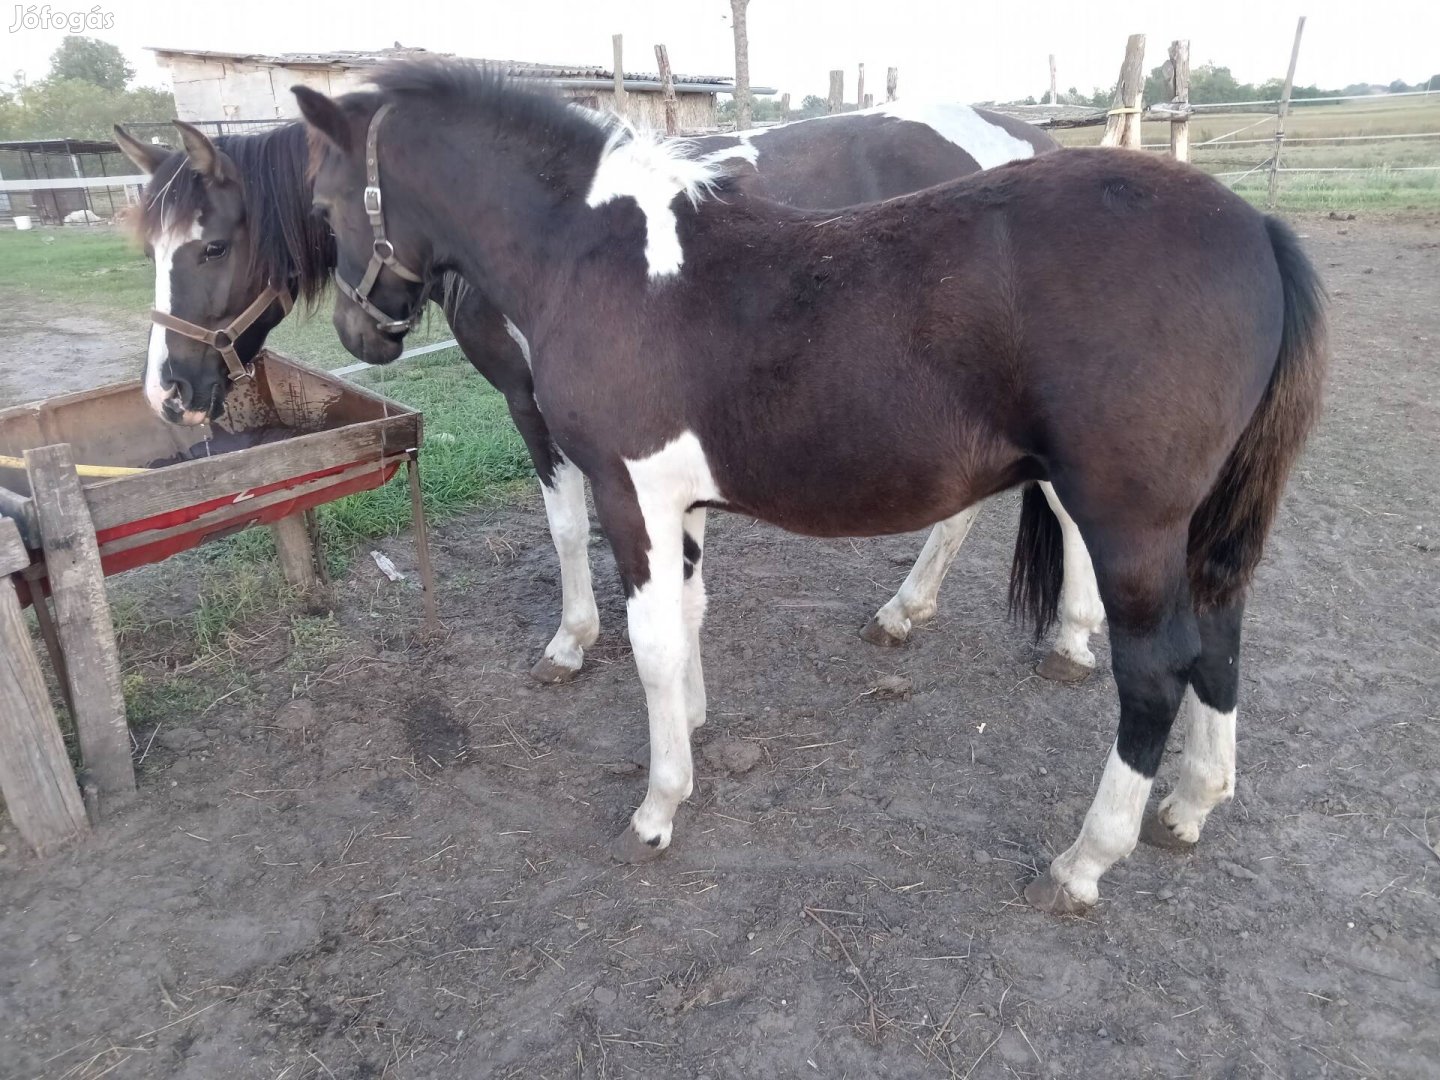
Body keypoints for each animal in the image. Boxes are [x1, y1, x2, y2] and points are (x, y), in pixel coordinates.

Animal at [115, 97, 1100, 685]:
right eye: (147, 248)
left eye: (209, 245)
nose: (168, 395)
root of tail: (1032, 137)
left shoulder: (531, 405)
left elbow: (563, 525)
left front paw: (574, 638)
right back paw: (908, 611)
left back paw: (1067, 635)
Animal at [298, 61, 1330, 915]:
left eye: (324, 199)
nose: (359, 331)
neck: (599, 256)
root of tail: (1255, 228)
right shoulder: (681, 503)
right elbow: (691, 615)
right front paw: (695, 730)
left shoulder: (630, 494)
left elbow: (653, 644)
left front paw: (659, 804)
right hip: (1189, 522)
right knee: (1220, 631)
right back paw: (1191, 803)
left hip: (1128, 519)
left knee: (1155, 672)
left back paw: (1086, 860)